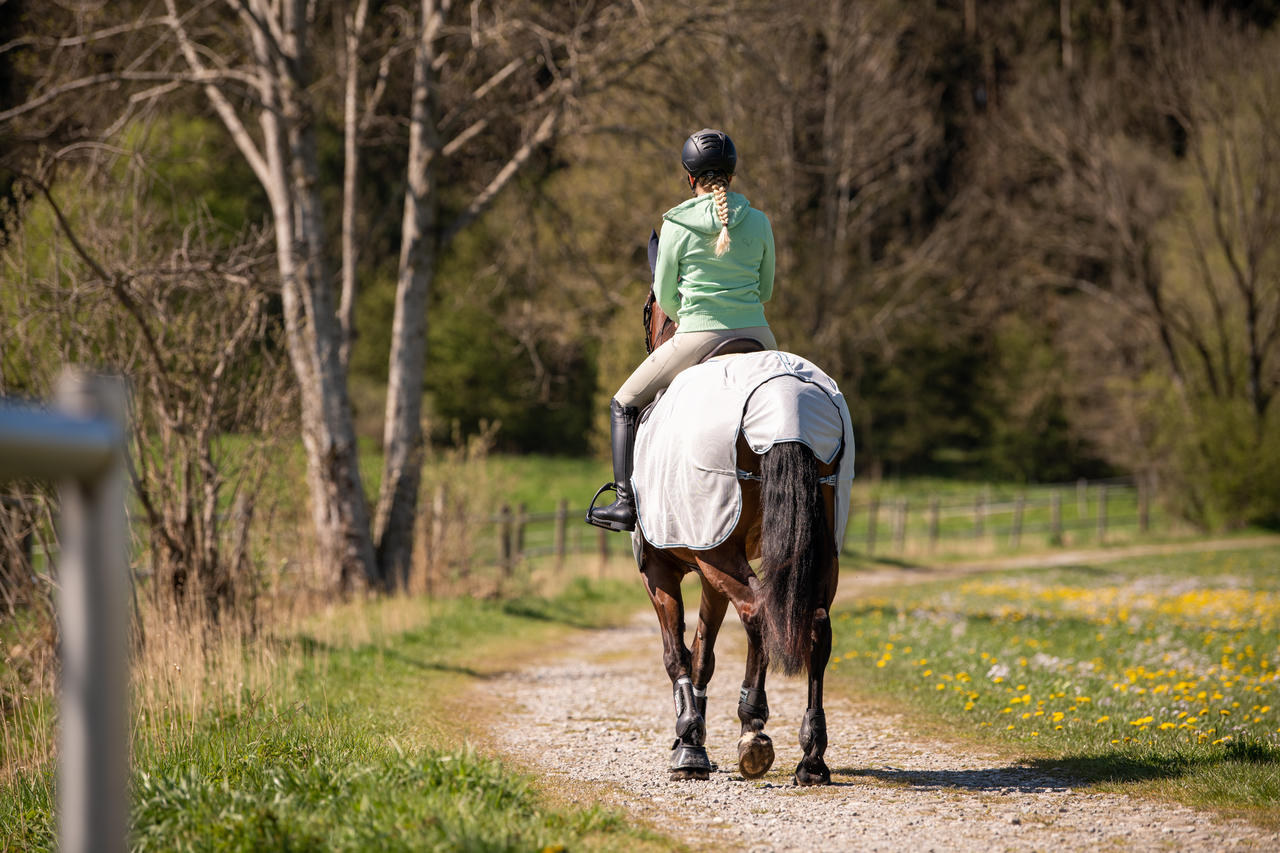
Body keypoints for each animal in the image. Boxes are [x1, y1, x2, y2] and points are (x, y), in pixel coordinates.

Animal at [624, 286, 844, 783]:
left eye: (648, 308)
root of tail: (786, 405)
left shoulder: (661, 569)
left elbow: (677, 654)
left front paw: (689, 740)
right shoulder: (710, 566)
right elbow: (703, 653)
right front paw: (693, 735)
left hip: (719, 554)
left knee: (759, 613)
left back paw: (755, 732)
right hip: (819, 550)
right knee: (814, 624)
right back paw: (811, 756)